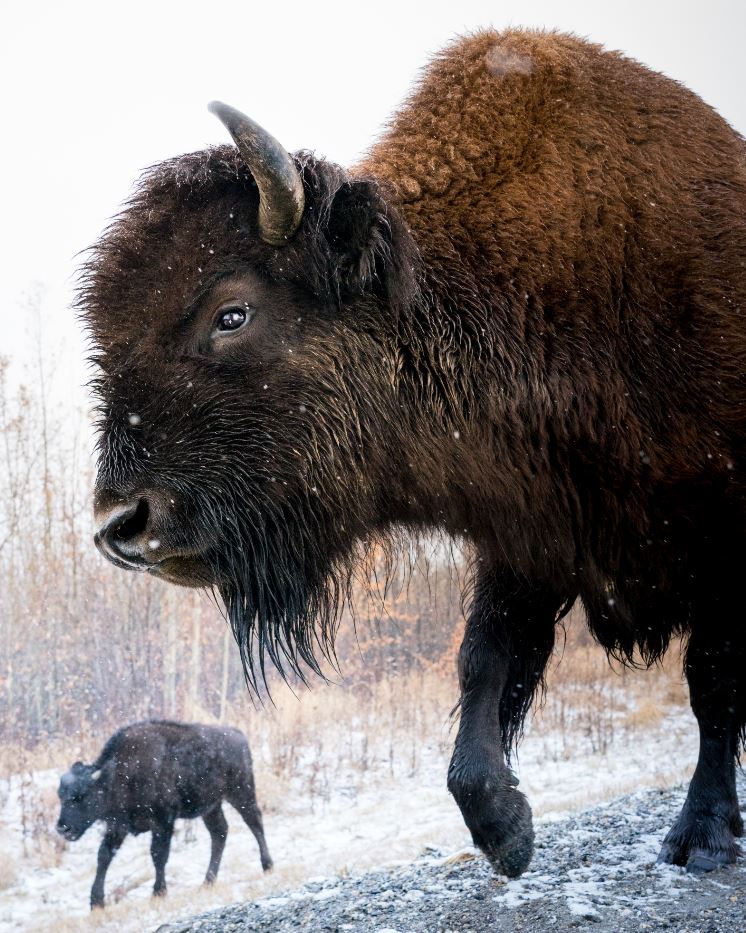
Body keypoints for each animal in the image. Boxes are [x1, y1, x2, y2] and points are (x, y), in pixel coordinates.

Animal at [56, 721, 272, 908]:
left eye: (80, 796)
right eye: (61, 796)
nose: (62, 827)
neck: (117, 773)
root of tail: (239, 735)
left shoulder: (163, 821)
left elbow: (158, 855)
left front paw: (158, 893)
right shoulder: (118, 826)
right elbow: (104, 856)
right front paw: (96, 903)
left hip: (240, 793)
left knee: (255, 823)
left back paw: (267, 866)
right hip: (212, 807)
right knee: (219, 833)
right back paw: (207, 882)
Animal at [80, 29, 746, 880]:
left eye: (232, 312)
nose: (122, 524)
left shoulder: (721, 534)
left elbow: (711, 680)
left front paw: (702, 834)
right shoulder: (526, 536)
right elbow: (485, 663)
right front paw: (504, 828)